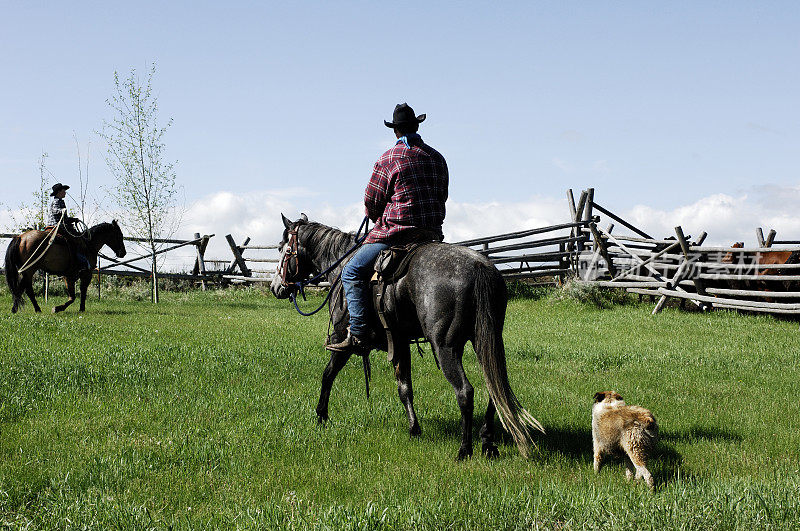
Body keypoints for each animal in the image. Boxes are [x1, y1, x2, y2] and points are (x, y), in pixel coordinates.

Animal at [270, 216, 544, 462]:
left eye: (284, 250)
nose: (276, 287)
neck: (341, 266)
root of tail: (479, 267)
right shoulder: (400, 342)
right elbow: (405, 388)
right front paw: (414, 429)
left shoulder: (342, 338)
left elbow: (328, 374)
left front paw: (321, 416)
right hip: (486, 341)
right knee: (493, 389)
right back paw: (487, 442)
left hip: (445, 346)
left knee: (465, 391)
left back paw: (464, 450)